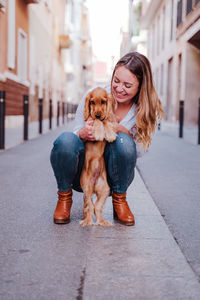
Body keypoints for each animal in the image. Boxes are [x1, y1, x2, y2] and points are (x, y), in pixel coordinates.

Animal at [80, 86, 117, 225]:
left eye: (103, 101)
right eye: (92, 102)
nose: (97, 113)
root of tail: (94, 186)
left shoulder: (105, 118)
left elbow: (105, 120)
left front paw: (110, 133)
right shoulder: (90, 121)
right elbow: (97, 121)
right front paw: (100, 132)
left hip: (105, 189)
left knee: (97, 207)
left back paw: (103, 222)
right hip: (86, 188)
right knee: (90, 207)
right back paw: (87, 222)